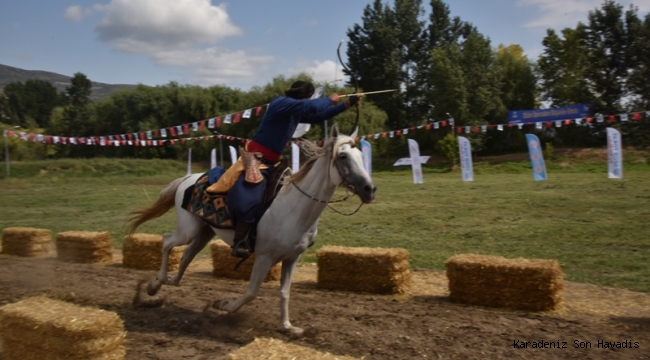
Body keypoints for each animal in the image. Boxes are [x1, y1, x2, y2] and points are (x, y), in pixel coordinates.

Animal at [126, 124, 374, 338]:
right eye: (343, 157)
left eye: (360, 156)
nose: (370, 189)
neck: (294, 207)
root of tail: (189, 178)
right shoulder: (264, 257)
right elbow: (251, 292)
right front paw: (223, 305)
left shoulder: (292, 258)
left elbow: (285, 292)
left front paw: (287, 326)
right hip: (188, 230)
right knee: (167, 241)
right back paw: (154, 285)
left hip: (204, 232)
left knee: (186, 256)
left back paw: (167, 283)